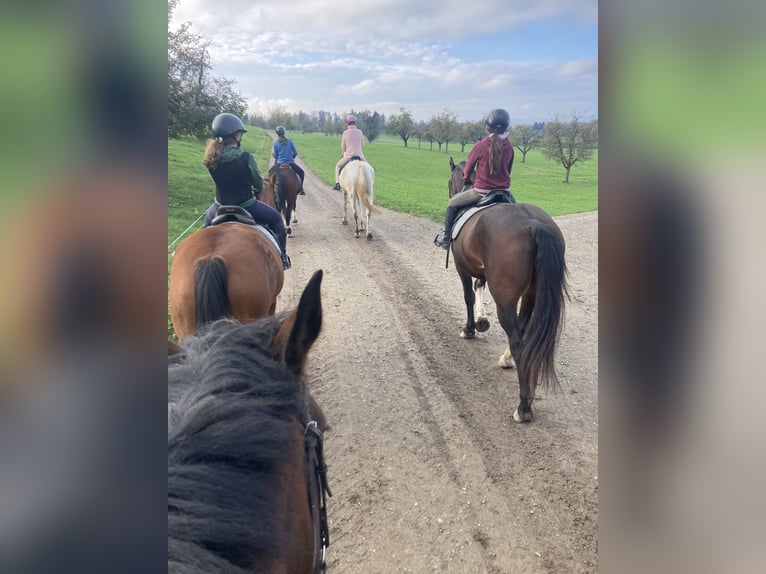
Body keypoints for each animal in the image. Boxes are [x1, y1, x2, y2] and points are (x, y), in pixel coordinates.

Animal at [444, 158, 568, 424]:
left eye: (450, 181)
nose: (450, 191)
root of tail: (533, 224)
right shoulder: (482, 271)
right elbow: (478, 288)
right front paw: (481, 321)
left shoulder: (462, 267)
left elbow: (468, 296)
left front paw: (470, 328)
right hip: (530, 294)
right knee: (522, 330)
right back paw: (507, 360)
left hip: (505, 300)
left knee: (518, 340)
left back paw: (523, 406)